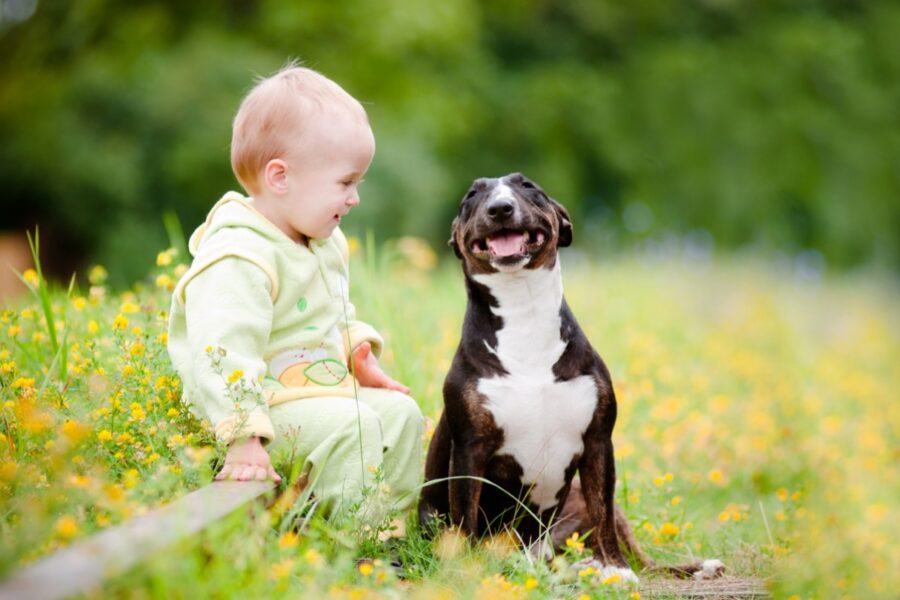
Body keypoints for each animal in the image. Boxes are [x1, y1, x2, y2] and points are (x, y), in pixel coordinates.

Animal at [420, 172, 724, 580]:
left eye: (528, 186)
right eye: (472, 195)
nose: (500, 208)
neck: (524, 314)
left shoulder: (597, 442)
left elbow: (602, 514)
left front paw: (616, 570)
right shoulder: (469, 449)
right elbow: (465, 518)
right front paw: (464, 573)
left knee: (640, 559)